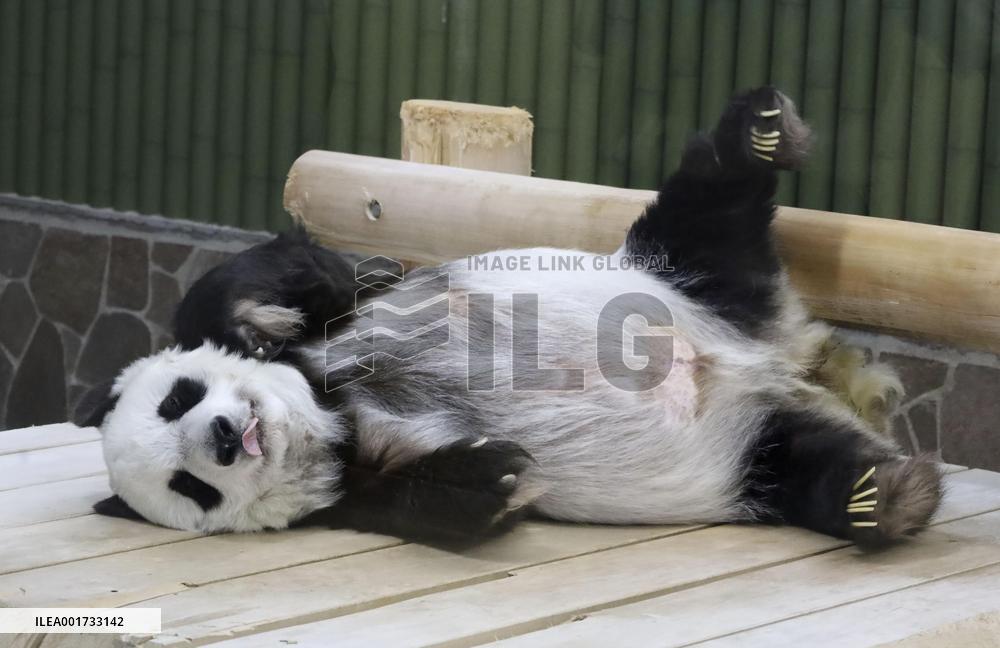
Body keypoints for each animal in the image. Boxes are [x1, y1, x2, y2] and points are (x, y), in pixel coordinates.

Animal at [76, 87, 941, 548]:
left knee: (709, 200)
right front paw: (493, 474)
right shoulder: (354, 484)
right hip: (746, 452)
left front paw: (261, 321)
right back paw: (879, 495)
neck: (329, 401)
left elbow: (262, 284)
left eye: (179, 400)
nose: (226, 438)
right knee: (796, 463)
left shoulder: (333, 317)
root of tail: (776, 362)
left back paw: (758, 130)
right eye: (191, 488)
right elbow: (429, 504)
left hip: (676, 273)